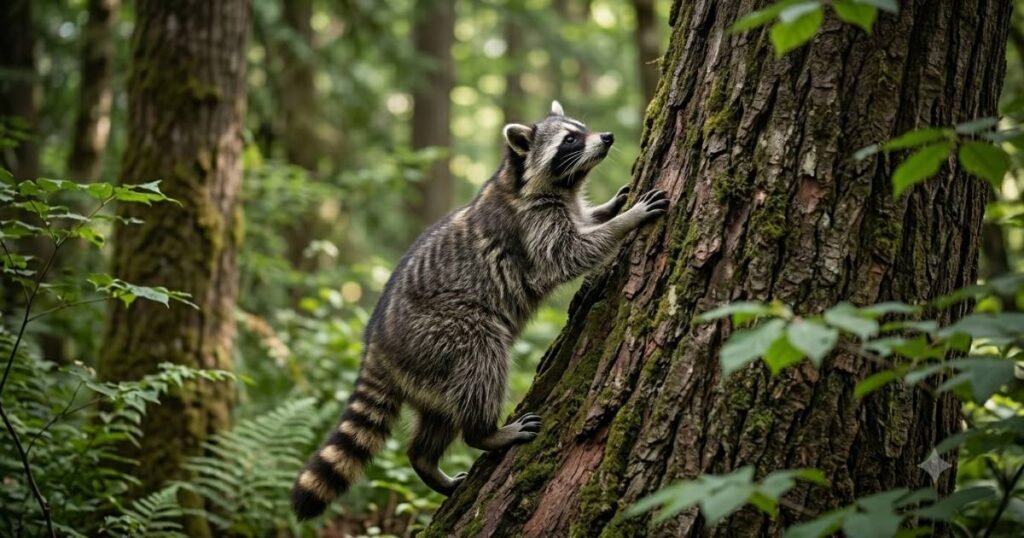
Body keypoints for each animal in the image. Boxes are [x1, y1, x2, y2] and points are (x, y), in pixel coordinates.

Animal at [291, 100, 668, 520]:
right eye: (570, 139)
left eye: (582, 128)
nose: (606, 138)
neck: (522, 179)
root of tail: (376, 342)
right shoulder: (531, 223)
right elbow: (566, 256)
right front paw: (625, 220)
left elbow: (583, 222)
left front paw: (607, 208)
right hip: (443, 331)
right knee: (482, 360)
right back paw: (485, 433)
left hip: (428, 372)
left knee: (439, 416)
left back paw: (425, 459)